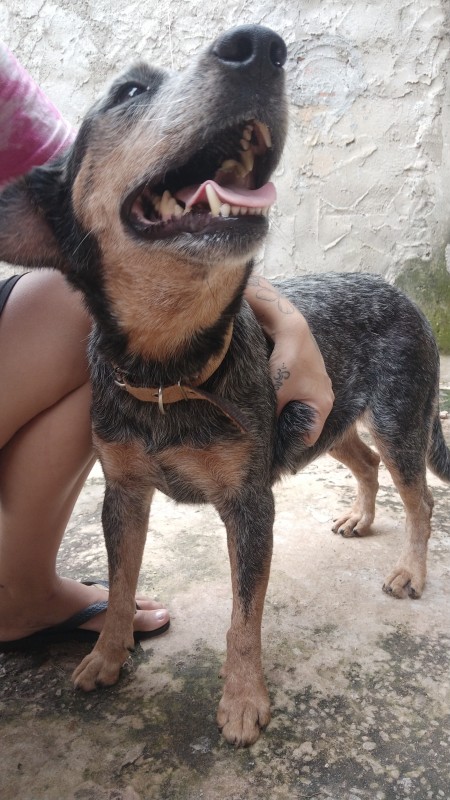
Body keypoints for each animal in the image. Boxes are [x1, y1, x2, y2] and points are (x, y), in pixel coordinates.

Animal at [0, 25, 450, 748]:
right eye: (129, 90)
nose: (260, 46)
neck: (170, 370)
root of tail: (400, 292)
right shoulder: (123, 494)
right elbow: (121, 586)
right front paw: (106, 654)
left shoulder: (249, 503)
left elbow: (244, 616)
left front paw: (242, 702)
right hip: (323, 420)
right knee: (365, 463)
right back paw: (359, 516)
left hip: (397, 417)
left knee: (420, 497)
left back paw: (410, 570)